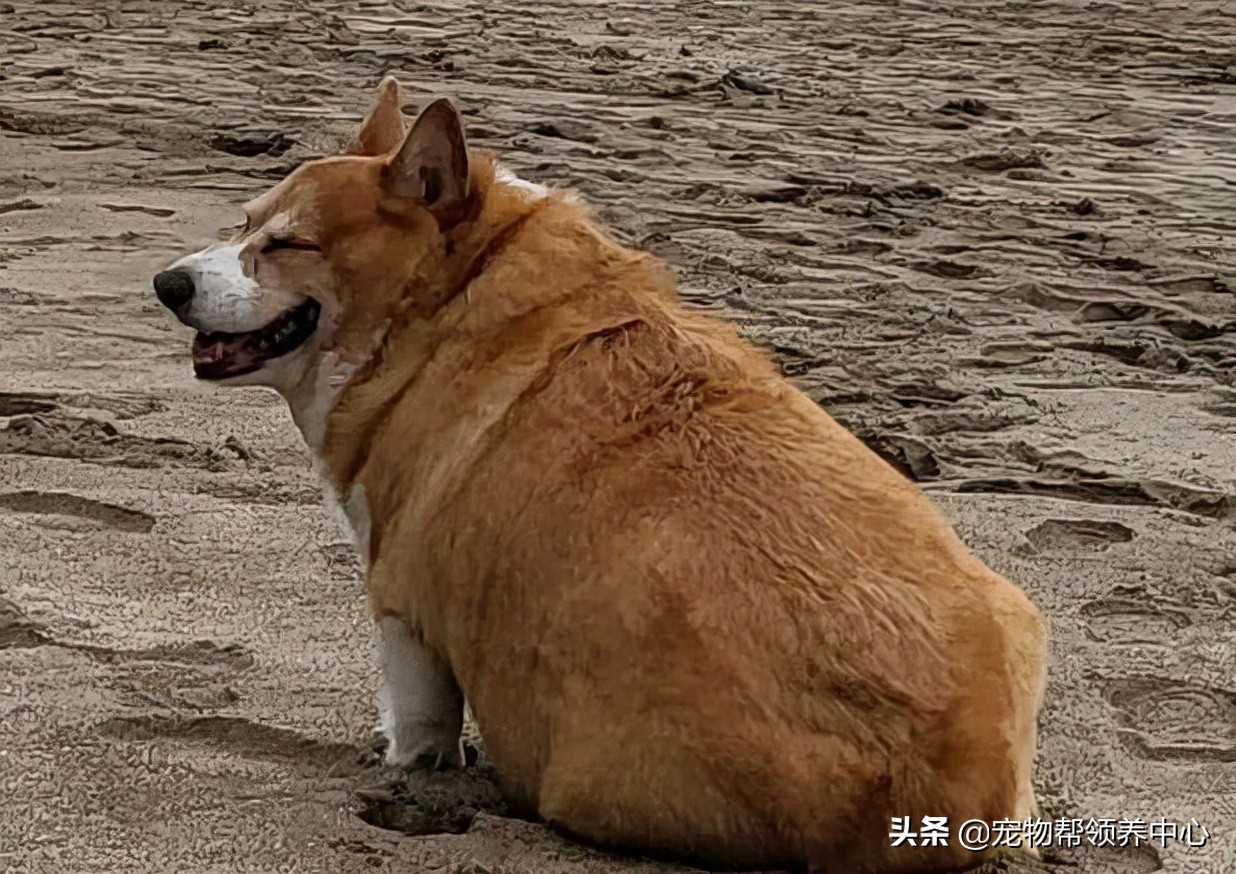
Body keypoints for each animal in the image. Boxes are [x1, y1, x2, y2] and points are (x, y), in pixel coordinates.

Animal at [152, 78, 1043, 870]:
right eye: (245, 225)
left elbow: (420, 722)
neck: (443, 299)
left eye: (288, 244)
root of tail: (942, 791)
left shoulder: (399, 600)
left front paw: (402, 763)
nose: (165, 284)